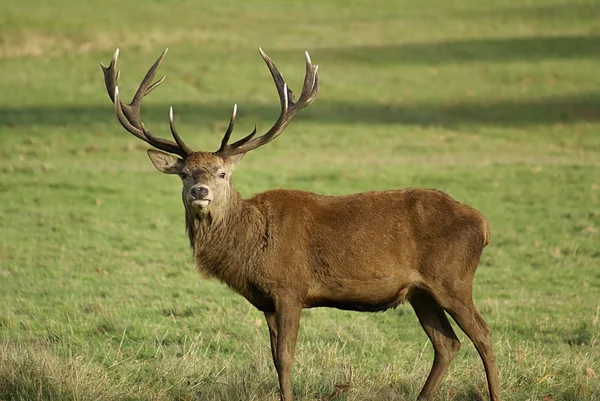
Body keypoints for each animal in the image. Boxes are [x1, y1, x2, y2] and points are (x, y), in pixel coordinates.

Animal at [102, 47, 502, 400]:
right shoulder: (266, 301)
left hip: (452, 278)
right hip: (421, 292)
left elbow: (285, 358)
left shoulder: (290, 287)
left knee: (482, 334)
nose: (200, 191)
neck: (250, 247)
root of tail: (484, 224)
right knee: (447, 343)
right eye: (184, 173)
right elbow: (273, 358)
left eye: (222, 173)